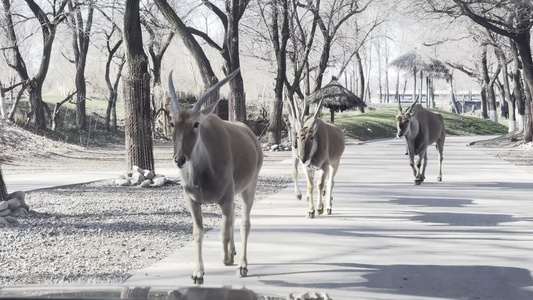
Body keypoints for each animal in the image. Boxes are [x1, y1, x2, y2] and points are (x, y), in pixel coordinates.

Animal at [167, 68, 262, 284]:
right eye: (172, 123)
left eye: (196, 124)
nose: (180, 159)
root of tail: (252, 136)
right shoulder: (192, 201)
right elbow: (198, 233)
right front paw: (198, 273)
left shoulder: (225, 199)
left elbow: (224, 233)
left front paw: (226, 258)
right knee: (234, 219)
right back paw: (234, 253)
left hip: (249, 186)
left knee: (244, 223)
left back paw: (242, 265)